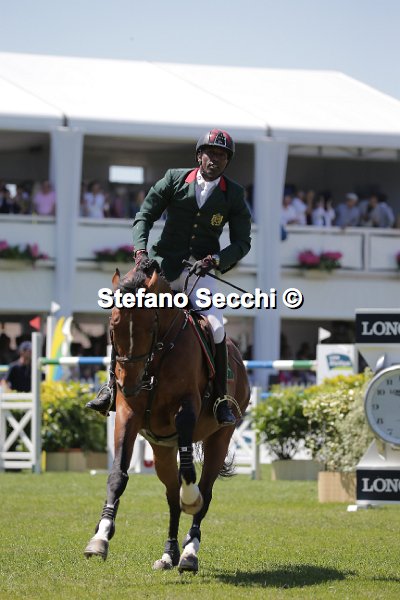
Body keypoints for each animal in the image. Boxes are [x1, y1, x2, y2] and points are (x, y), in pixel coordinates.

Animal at [84, 258, 250, 573]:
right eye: (113, 326)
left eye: (150, 326)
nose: (128, 383)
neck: (157, 358)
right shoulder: (128, 414)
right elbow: (117, 476)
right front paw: (100, 537)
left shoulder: (186, 411)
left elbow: (190, 475)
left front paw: (191, 500)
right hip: (161, 447)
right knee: (171, 494)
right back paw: (169, 554)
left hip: (220, 438)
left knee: (205, 490)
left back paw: (189, 552)